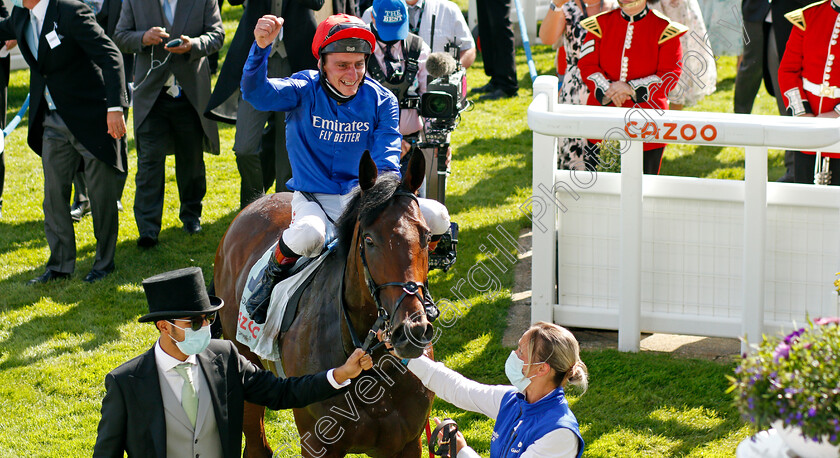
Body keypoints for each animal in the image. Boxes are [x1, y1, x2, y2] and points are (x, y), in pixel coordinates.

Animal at [217, 151, 436, 458]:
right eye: (369, 239)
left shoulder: (407, 443)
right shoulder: (317, 443)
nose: (412, 330)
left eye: (426, 236)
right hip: (245, 361)